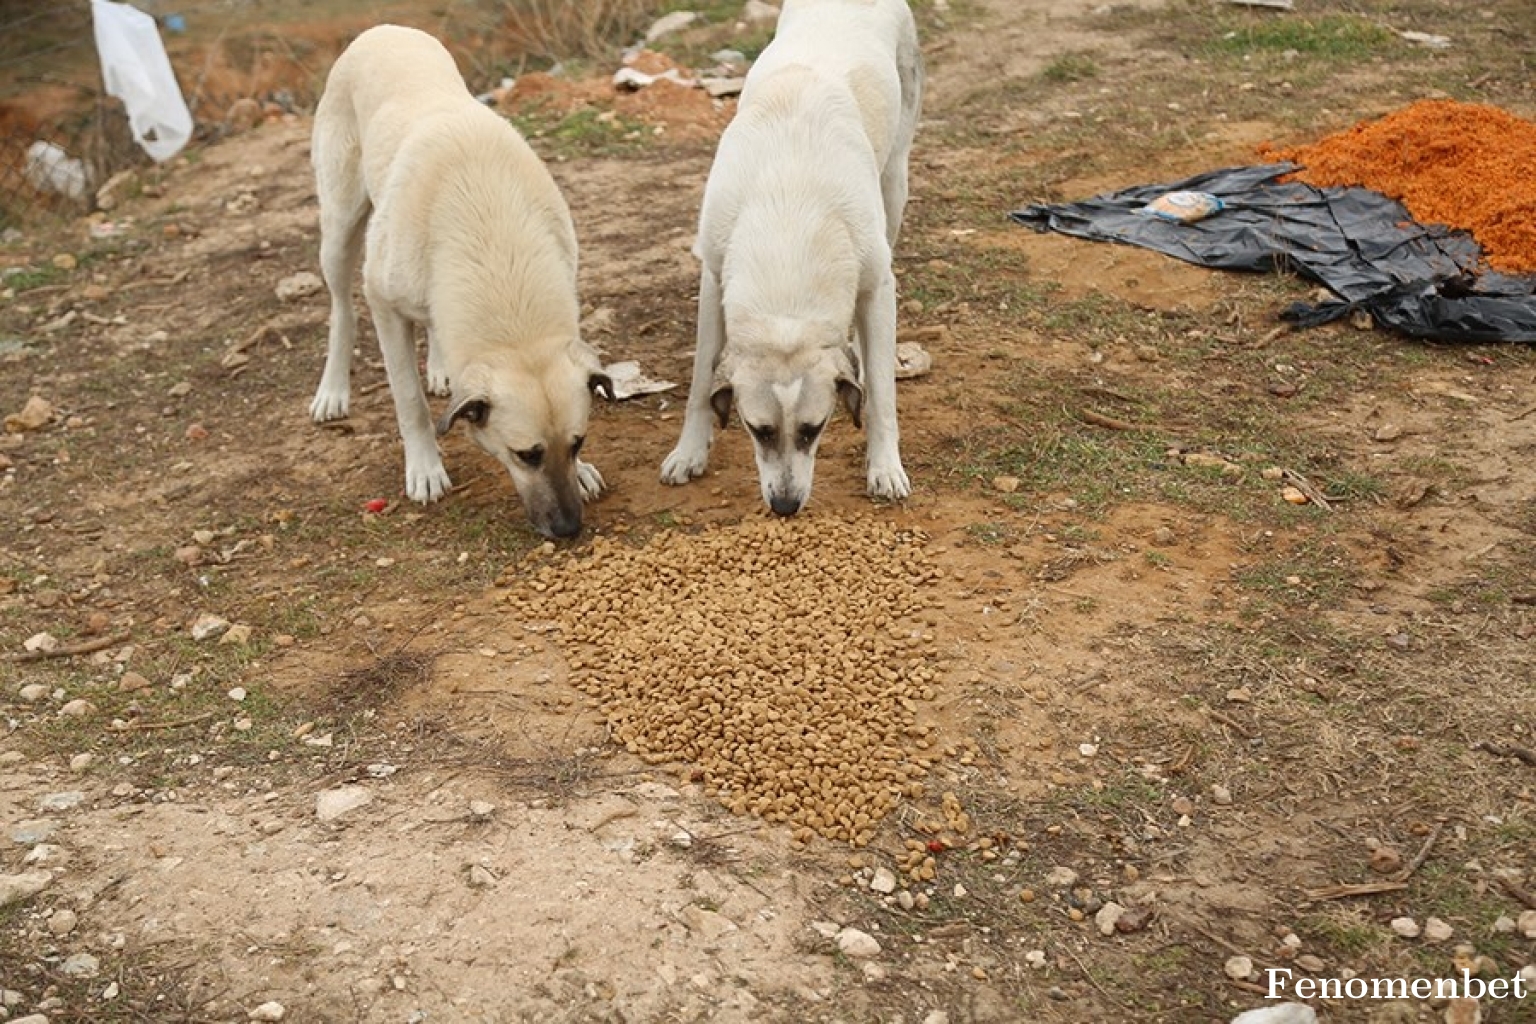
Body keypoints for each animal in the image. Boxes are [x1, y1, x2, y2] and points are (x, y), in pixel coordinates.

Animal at [308, 23, 608, 537]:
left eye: (578, 443)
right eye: (525, 455)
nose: (569, 529)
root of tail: (383, 29)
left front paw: (585, 472)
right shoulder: (383, 303)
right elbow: (408, 399)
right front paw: (425, 468)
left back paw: (441, 368)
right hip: (340, 229)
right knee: (341, 310)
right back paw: (333, 391)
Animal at [660, 0, 921, 515]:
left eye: (812, 430)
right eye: (757, 430)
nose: (784, 506)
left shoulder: (878, 284)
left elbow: (882, 396)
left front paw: (885, 465)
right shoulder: (713, 276)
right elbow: (701, 378)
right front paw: (689, 450)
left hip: (895, 185)